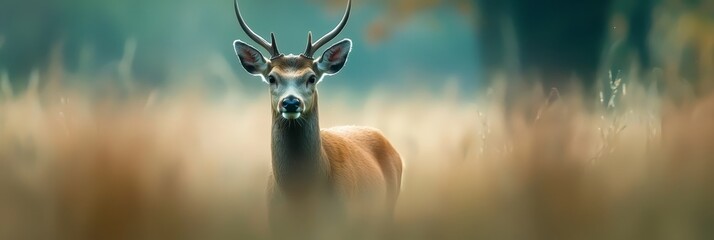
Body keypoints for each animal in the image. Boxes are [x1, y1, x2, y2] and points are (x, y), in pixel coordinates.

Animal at [232, 0, 404, 238]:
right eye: (272, 78)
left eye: (311, 77)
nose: (291, 102)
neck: (301, 196)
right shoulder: (276, 224)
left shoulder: (340, 222)